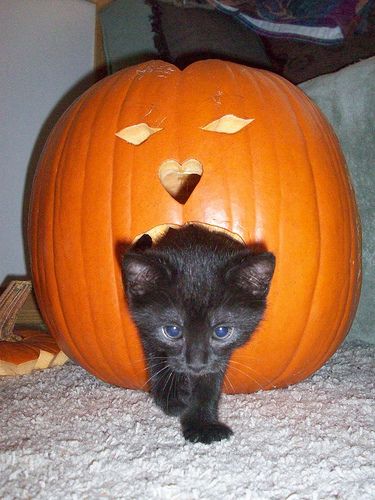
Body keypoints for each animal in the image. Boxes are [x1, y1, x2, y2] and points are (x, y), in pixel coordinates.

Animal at [122, 225, 274, 444]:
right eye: (173, 331)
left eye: (221, 332)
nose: (196, 364)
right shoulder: (144, 326)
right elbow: (156, 356)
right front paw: (172, 397)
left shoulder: (218, 357)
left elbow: (209, 382)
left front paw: (203, 424)